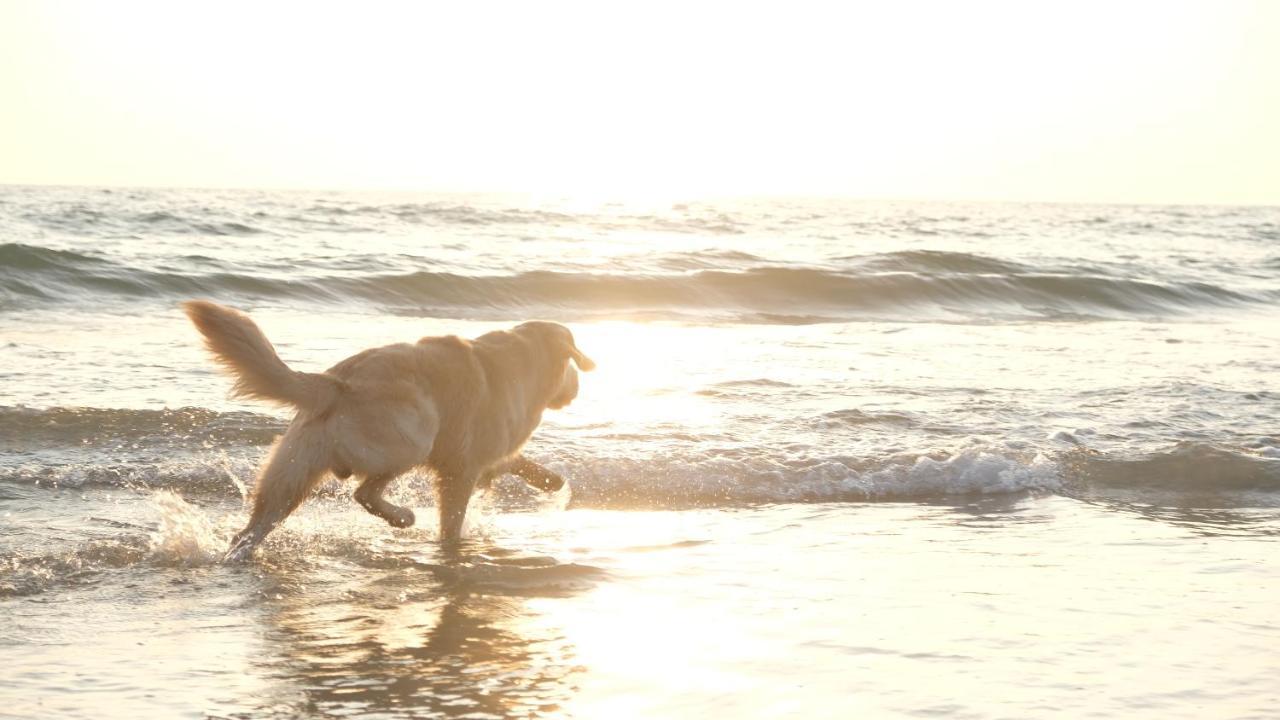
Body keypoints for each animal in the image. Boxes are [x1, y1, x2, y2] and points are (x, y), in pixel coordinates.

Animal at [181, 299, 593, 558]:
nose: (577, 388)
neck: (525, 360)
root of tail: (337, 383)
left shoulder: (484, 454)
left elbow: (514, 461)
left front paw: (550, 480)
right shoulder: (461, 467)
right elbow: (454, 515)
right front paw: (450, 545)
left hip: (293, 471)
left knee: (251, 528)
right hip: (415, 434)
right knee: (363, 491)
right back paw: (401, 516)